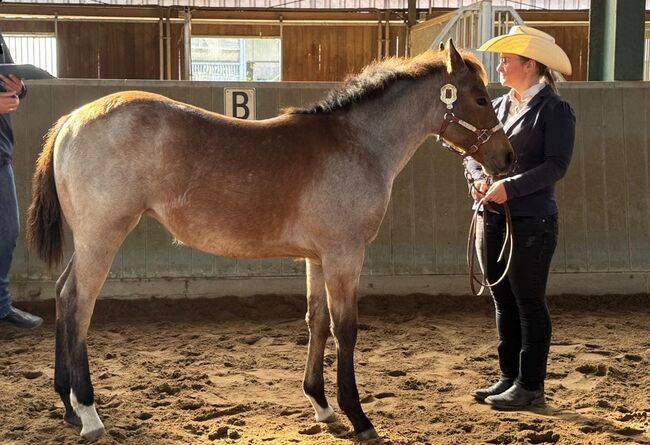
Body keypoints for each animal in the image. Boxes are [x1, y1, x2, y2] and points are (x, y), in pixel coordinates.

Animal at [26, 39, 513, 441]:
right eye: (480, 98)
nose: (507, 157)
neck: (357, 143)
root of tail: (72, 119)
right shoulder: (345, 255)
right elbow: (346, 328)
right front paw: (358, 416)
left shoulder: (318, 258)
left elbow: (317, 321)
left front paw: (321, 404)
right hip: (103, 237)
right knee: (79, 306)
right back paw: (88, 412)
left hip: (88, 240)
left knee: (62, 294)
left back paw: (67, 405)